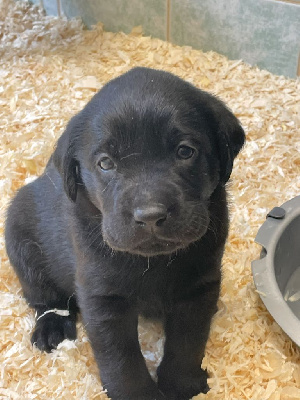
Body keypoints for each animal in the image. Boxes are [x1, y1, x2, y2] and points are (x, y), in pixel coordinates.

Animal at [4, 67, 245, 398]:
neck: (154, 262)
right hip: (21, 242)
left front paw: (182, 385)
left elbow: (188, 341)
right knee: (44, 298)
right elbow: (121, 357)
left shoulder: (199, 287)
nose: (151, 215)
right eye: (106, 163)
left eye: (185, 151)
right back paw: (52, 328)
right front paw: (137, 394)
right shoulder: (104, 298)